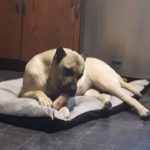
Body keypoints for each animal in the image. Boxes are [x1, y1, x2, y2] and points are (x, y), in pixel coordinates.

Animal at [20, 47, 149, 119]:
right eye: (67, 70)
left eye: (80, 75)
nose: (73, 90)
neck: (49, 74)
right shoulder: (23, 94)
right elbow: (38, 91)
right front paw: (45, 99)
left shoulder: (67, 95)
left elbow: (64, 101)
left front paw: (63, 110)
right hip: (91, 92)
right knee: (105, 95)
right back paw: (106, 103)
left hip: (107, 84)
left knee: (128, 98)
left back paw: (142, 110)